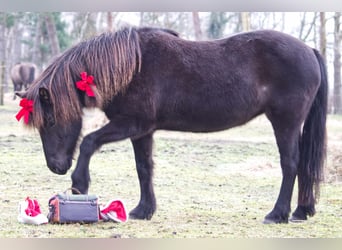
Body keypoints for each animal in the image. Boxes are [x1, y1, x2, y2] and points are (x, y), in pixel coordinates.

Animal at [17, 26, 328, 224]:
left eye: (51, 120)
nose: (56, 167)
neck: (131, 65)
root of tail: (309, 50)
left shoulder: (131, 123)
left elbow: (89, 142)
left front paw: (79, 185)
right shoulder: (142, 131)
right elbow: (144, 168)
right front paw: (143, 210)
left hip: (285, 122)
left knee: (290, 163)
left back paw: (277, 214)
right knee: (302, 165)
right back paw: (301, 211)